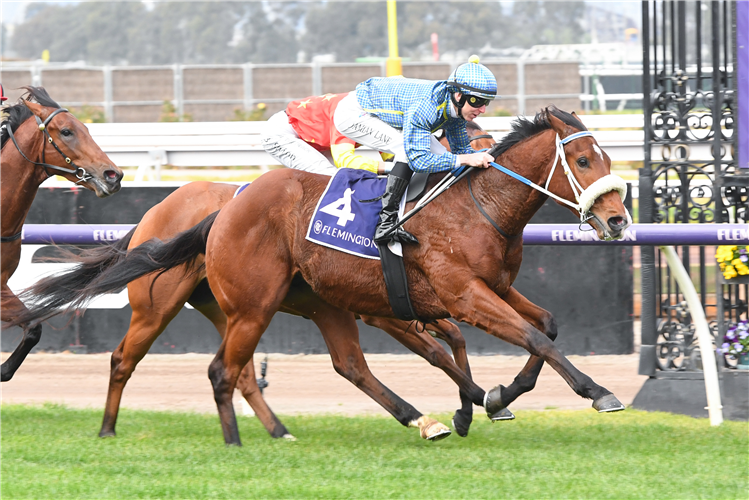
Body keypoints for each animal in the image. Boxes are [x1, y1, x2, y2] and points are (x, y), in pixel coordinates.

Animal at [14, 107, 628, 444]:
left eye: (605, 158)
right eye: (584, 161)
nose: (619, 219)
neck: (477, 206)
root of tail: (214, 213)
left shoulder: (488, 289)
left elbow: (543, 326)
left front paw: (493, 397)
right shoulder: (456, 296)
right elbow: (516, 338)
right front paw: (594, 392)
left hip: (282, 304)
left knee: (330, 366)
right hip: (180, 303)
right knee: (131, 358)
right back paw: (110, 429)